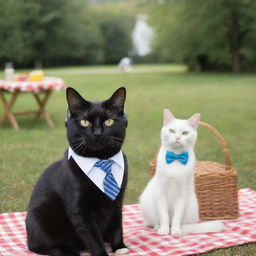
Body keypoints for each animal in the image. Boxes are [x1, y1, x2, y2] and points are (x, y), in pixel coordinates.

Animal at [25, 87, 129, 255]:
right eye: (84, 122)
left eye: (109, 121)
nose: (97, 133)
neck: (101, 160)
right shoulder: (80, 210)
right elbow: (92, 235)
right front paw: (102, 253)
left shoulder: (117, 201)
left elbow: (117, 224)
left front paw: (119, 247)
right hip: (39, 218)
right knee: (37, 246)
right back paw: (69, 250)